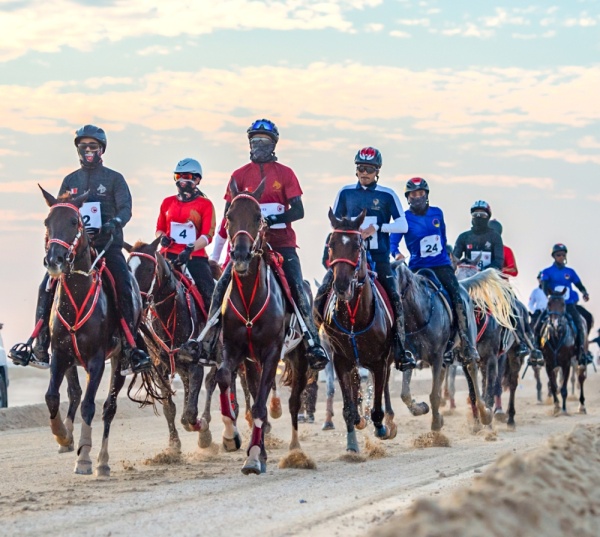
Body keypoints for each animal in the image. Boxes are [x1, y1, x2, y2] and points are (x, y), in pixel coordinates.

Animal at [39, 186, 152, 476]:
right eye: (47, 222)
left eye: (74, 221)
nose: (54, 259)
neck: (77, 297)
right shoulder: (60, 355)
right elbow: (52, 396)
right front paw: (62, 436)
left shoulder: (97, 360)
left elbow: (90, 406)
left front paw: (84, 458)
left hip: (120, 361)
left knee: (108, 408)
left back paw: (102, 461)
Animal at [126, 237, 223, 450]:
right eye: (128, 268)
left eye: (148, 268)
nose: (136, 301)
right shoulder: (160, 367)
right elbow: (170, 408)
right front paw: (173, 445)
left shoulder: (195, 366)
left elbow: (189, 414)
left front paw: (203, 430)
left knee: (220, 382)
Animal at [213, 178, 310, 472]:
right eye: (229, 217)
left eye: (259, 216)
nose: (241, 255)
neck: (249, 299)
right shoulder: (235, 349)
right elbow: (223, 377)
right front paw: (231, 436)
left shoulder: (271, 354)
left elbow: (260, 406)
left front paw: (254, 456)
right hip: (251, 362)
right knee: (257, 393)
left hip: (300, 358)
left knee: (293, 402)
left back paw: (294, 449)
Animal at [316, 209, 396, 452]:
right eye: (331, 244)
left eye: (357, 244)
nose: (342, 285)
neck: (353, 317)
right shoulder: (341, 360)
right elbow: (349, 407)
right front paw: (352, 442)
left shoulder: (380, 361)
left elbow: (377, 402)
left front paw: (380, 427)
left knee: (384, 387)